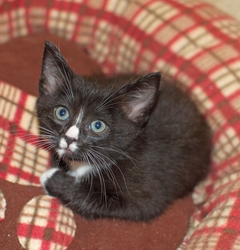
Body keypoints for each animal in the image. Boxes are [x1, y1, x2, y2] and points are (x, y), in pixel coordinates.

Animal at [36, 41, 211, 223]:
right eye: (62, 113)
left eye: (98, 125)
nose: (70, 139)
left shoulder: (145, 193)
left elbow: (97, 202)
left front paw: (50, 177)